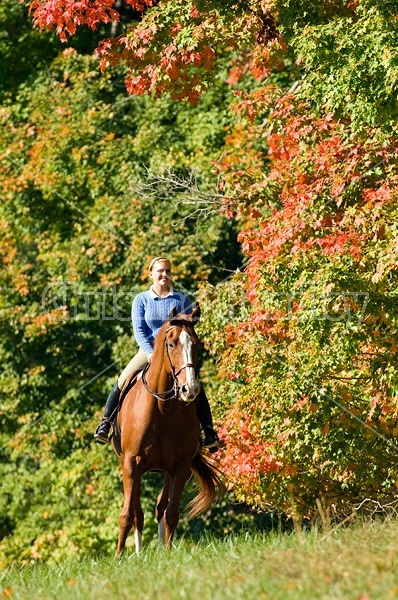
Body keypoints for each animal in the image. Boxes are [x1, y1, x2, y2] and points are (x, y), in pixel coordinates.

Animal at [112, 308, 224, 556]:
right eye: (171, 344)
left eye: (196, 343)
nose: (190, 389)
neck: (163, 408)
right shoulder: (131, 462)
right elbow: (127, 515)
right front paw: (118, 556)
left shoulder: (180, 466)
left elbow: (171, 513)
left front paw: (168, 551)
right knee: (137, 512)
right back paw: (138, 552)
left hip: (165, 471)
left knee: (159, 507)